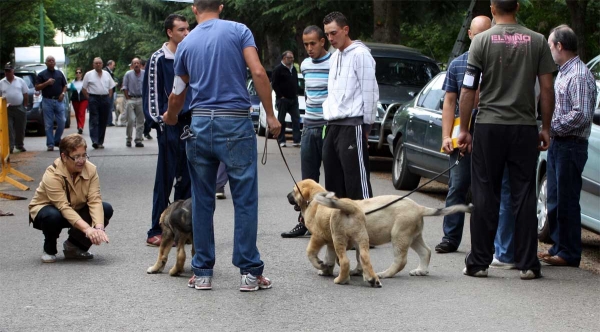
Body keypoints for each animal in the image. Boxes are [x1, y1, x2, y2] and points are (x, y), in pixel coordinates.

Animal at [288, 180, 474, 278]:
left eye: (294, 191)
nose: (288, 196)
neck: (314, 200)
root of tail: (418, 207)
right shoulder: (332, 240)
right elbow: (333, 256)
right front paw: (327, 268)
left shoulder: (319, 237)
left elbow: (312, 254)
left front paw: (320, 266)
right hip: (413, 236)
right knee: (425, 251)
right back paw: (421, 270)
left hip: (399, 236)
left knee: (401, 260)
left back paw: (385, 274)